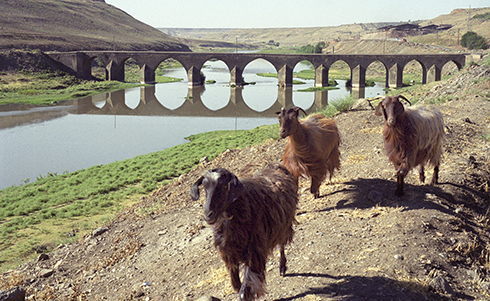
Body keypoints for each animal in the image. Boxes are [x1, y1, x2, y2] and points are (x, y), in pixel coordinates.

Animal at [191, 162, 298, 300]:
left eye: (224, 186)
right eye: (204, 187)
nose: (208, 215)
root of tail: (273, 165)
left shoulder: (255, 252)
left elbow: (244, 290)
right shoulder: (229, 253)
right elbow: (237, 285)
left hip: (284, 225)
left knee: (281, 245)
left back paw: (282, 267)